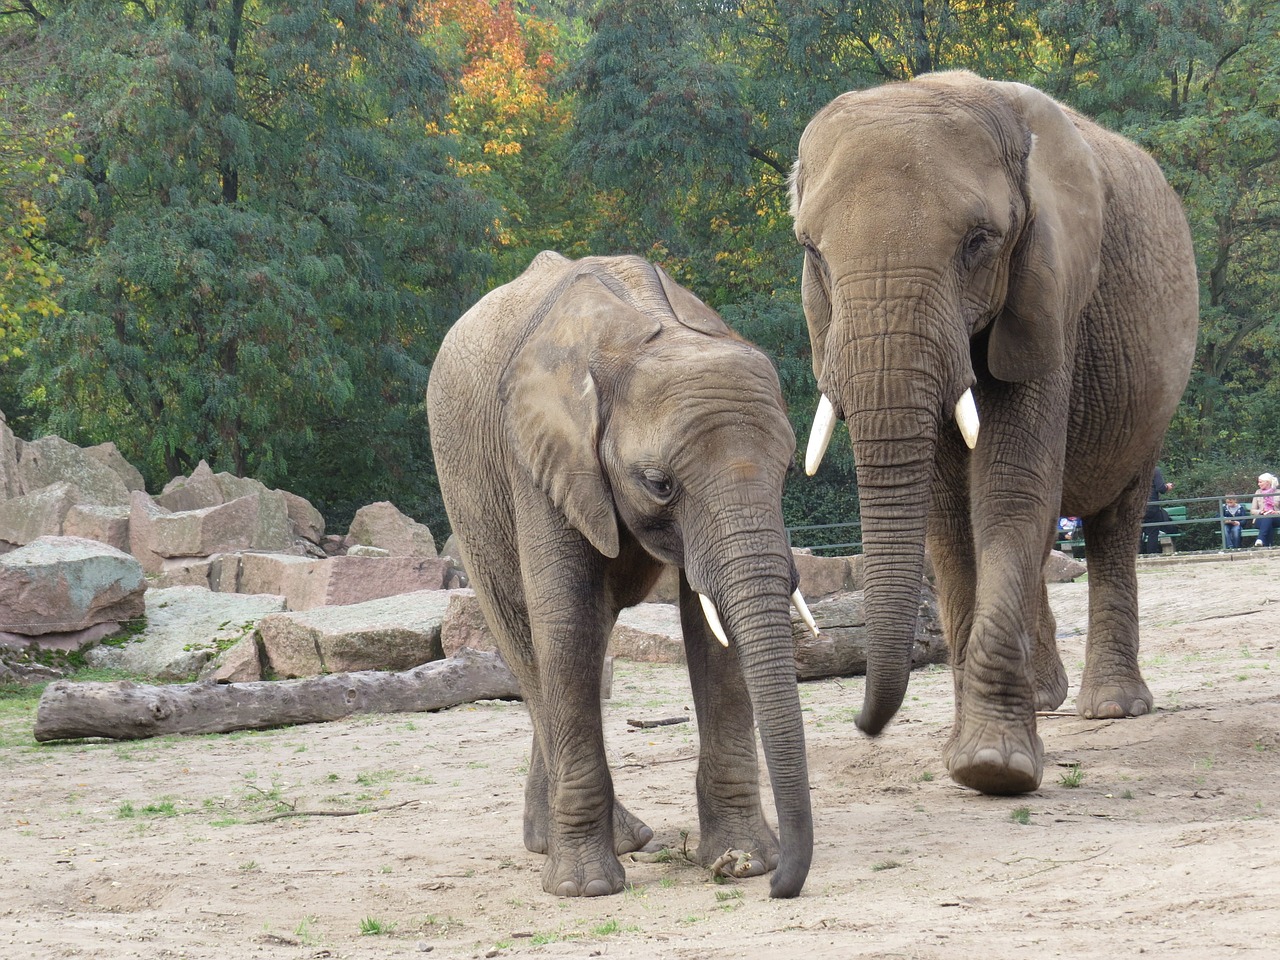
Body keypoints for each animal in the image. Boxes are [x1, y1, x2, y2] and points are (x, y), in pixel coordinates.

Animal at [427, 252, 808, 901]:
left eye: (787, 471)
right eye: (658, 483)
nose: (784, 885)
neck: (652, 336)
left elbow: (713, 633)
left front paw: (743, 861)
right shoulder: (539, 458)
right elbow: (567, 619)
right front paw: (584, 889)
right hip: (466, 492)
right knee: (528, 642)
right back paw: (600, 842)